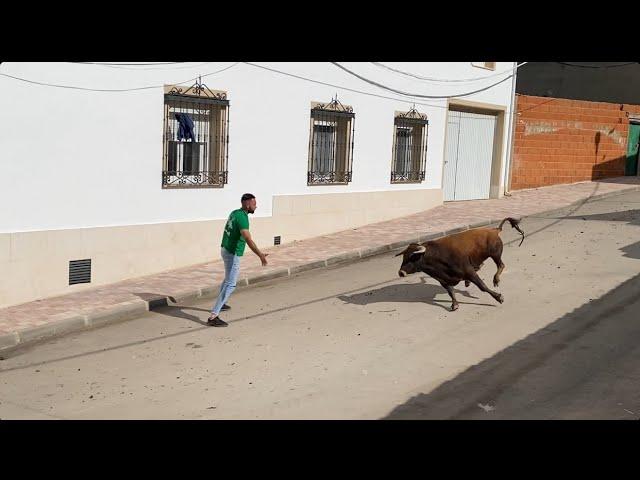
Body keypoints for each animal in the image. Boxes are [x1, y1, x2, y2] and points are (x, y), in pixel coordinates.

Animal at [396, 218, 524, 312]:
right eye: (404, 257)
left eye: (412, 257)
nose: (401, 272)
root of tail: (494, 230)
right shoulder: (443, 280)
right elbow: (451, 292)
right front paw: (455, 305)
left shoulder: (469, 272)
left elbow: (482, 286)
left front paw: (498, 297)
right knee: (485, 265)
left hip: (495, 254)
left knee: (501, 265)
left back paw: (496, 279)